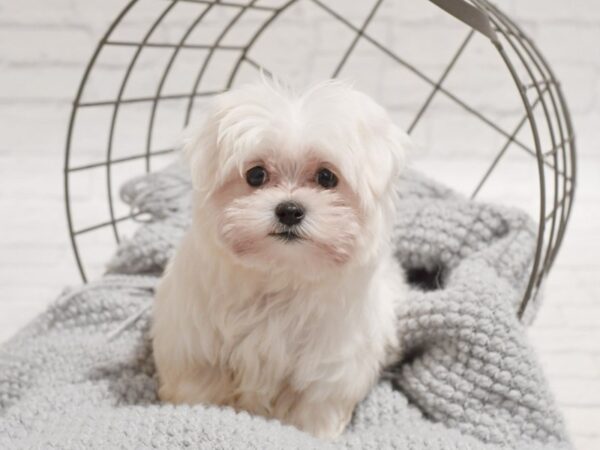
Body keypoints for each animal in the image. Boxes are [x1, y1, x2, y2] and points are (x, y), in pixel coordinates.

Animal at [152, 79, 410, 438]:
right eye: (256, 175)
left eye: (327, 178)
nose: (289, 210)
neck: (281, 274)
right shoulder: (195, 346)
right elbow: (201, 387)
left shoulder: (331, 366)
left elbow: (316, 406)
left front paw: (317, 433)